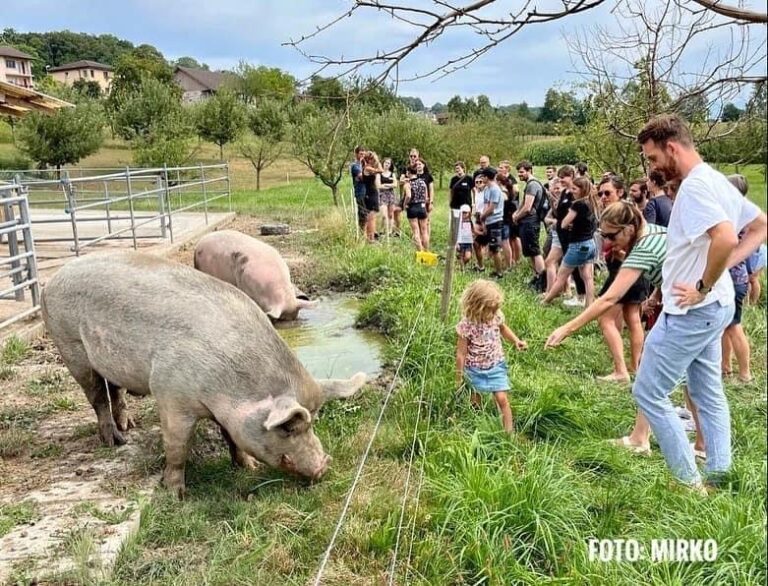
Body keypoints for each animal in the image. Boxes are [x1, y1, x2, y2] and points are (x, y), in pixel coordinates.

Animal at [42, 252, 366, 498]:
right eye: (287, 428)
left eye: (314, 422)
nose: (323, 466)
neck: (228, 389)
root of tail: (52, 280)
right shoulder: (171, 396)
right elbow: (177, 447)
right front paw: (176, 494)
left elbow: (231, 437)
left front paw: (248, 467)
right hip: (70, 346)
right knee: (97, 396)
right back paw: (116, 441)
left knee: (114, 389)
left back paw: (129, 426)